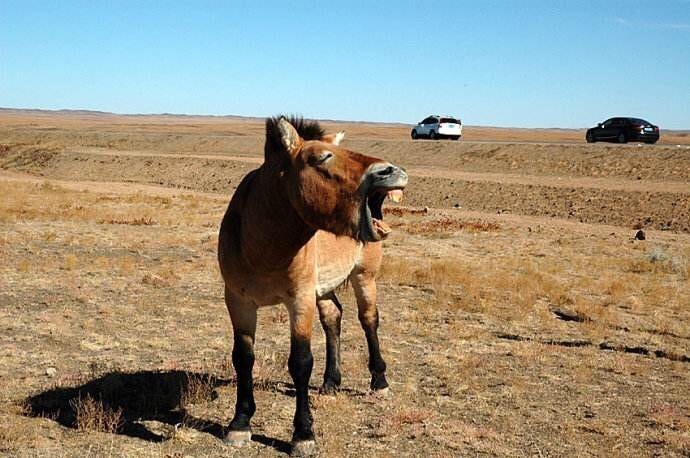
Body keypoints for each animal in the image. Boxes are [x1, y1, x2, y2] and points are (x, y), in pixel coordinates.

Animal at [218, 116, 406, 456]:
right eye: (322, 157)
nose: (390, 171)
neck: (263, 245)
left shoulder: (299, 299)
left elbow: (301, 362)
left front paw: (303, 434)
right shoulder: (238, 301)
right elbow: (243, 358)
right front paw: (240, 424)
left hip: (364, 277)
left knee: (369, 320)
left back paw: (379, 382)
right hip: (325, 288)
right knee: (333, 318)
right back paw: (331, 382)